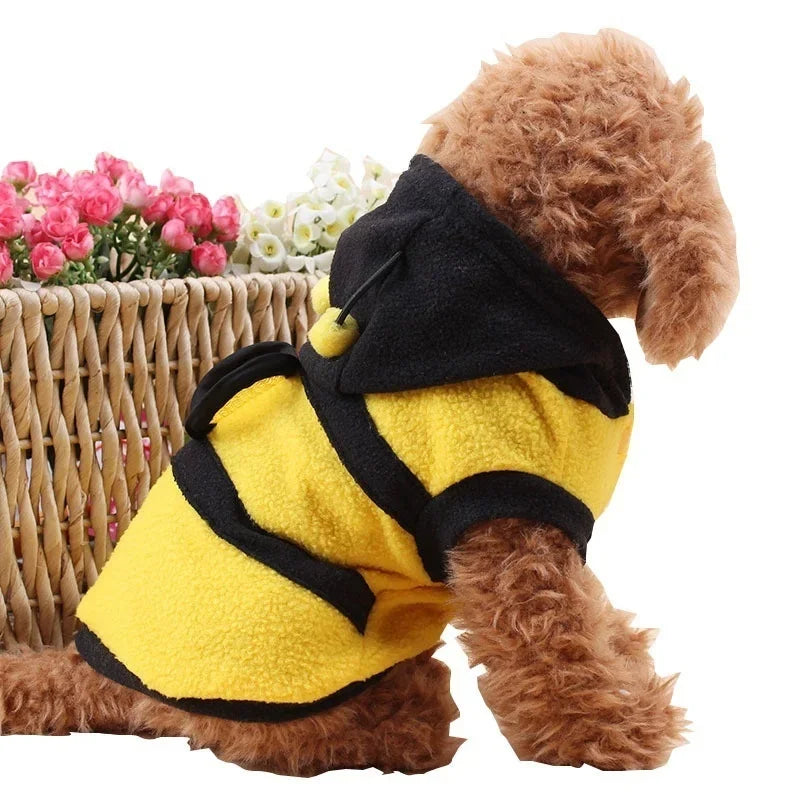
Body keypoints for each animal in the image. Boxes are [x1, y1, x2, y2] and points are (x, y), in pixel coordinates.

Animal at [0, 31, 736, 776]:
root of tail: (94, 666)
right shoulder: (509, 528)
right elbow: (559, 644)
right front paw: (619, 730)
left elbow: (599, 626)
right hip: (284, 646)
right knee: (272, 736)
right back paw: (398, 725)